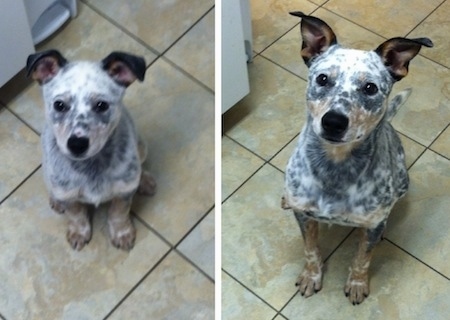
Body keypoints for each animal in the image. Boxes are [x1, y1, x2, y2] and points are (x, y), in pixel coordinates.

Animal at [26, 50, 156, 251]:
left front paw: (122, 233)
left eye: (101, 105)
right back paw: (55, 200)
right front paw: (79, 232)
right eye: (59, 105)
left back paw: (145, 180)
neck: (90, 165)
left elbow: (119, 213)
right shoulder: (69, 196)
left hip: (142, 146)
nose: (77, 144)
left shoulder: (123, 192)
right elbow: (76, 214)